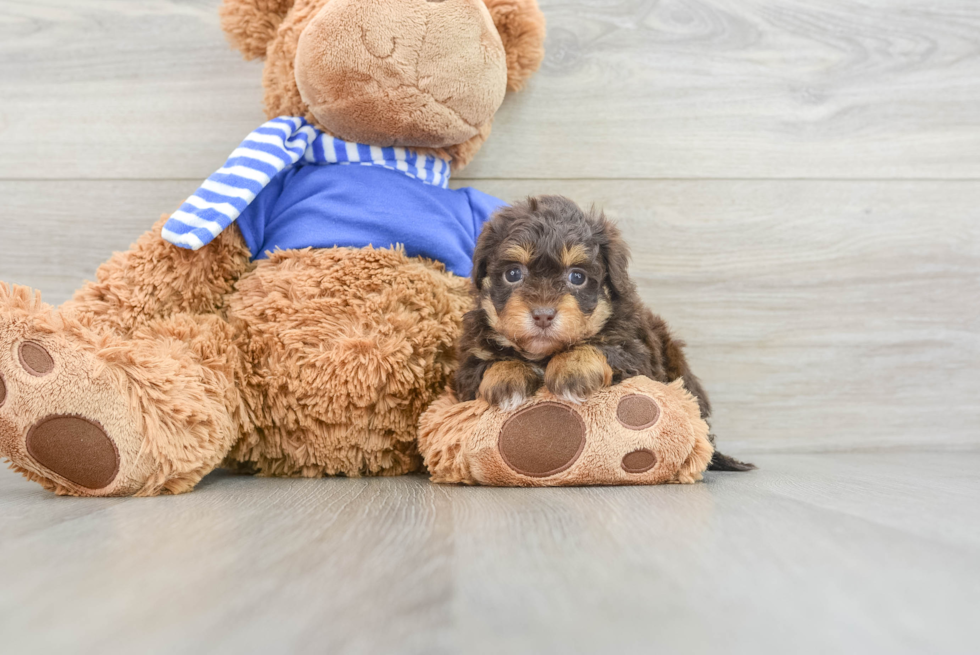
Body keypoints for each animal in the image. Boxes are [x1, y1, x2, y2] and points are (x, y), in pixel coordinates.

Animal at [456, 193, 756, 472]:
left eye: (577, 277)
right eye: (513, 274)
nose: (543, 314)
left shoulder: (637, 353)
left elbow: (599, 347)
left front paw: (572, 369)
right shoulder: (467, 369)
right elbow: (487, 362)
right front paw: (507, 378)